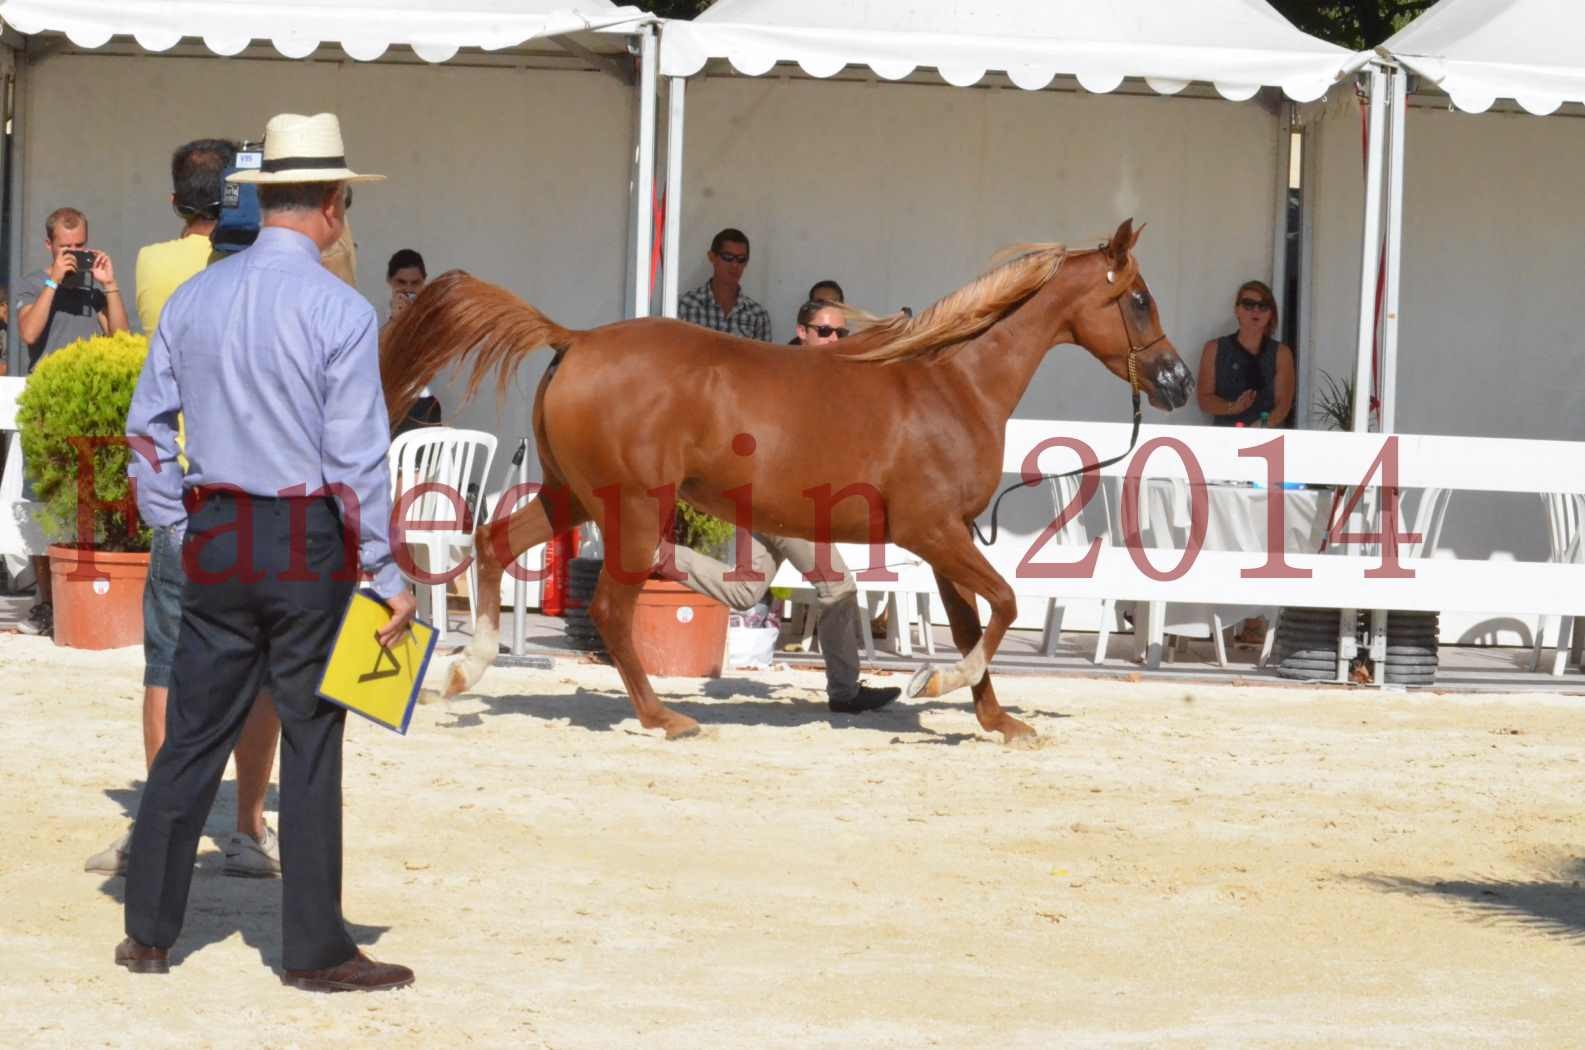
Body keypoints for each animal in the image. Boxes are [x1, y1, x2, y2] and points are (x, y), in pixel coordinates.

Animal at [380, 217, 1191, 745]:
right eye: (1139, 297)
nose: (1177, 380)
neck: (953, 386)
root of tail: (575, 340)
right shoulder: (933, 531)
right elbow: (1004, 604)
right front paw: (937, 685)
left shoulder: (944, 540)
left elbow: (972, 620)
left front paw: (999, 721)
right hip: (632, 509)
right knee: (610, 608)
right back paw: (665, 719)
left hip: (569, 495)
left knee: (492, 543)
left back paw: (466, 670)